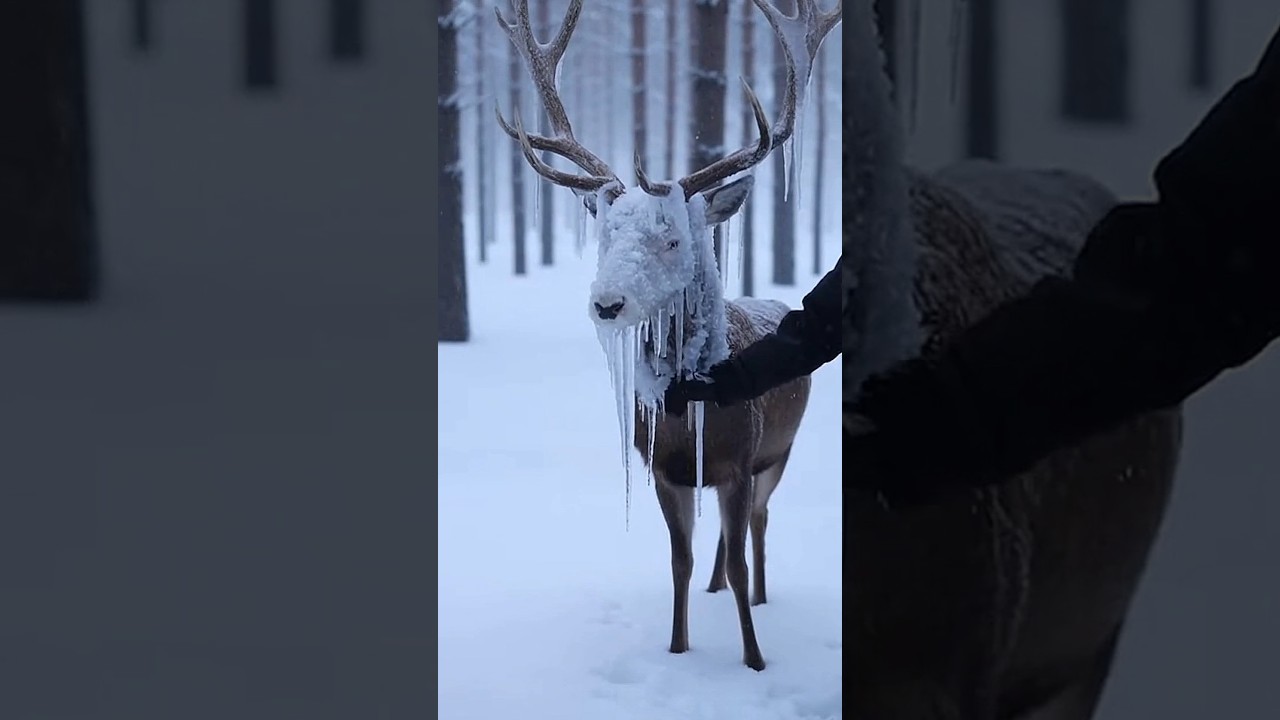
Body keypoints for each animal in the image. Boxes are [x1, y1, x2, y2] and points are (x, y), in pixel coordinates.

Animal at [493, 0, 840, 672]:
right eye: (607, 234)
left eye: (673, 237)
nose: (607, 304)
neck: (688, 410)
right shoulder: (663, 469)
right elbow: (679, 560)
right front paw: (679, 648)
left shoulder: (740, 460)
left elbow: (739, 556)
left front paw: (754, 660)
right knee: (726, 546)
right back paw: (715, 588)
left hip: (778, 452)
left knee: (759, 524)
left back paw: (761, 597)